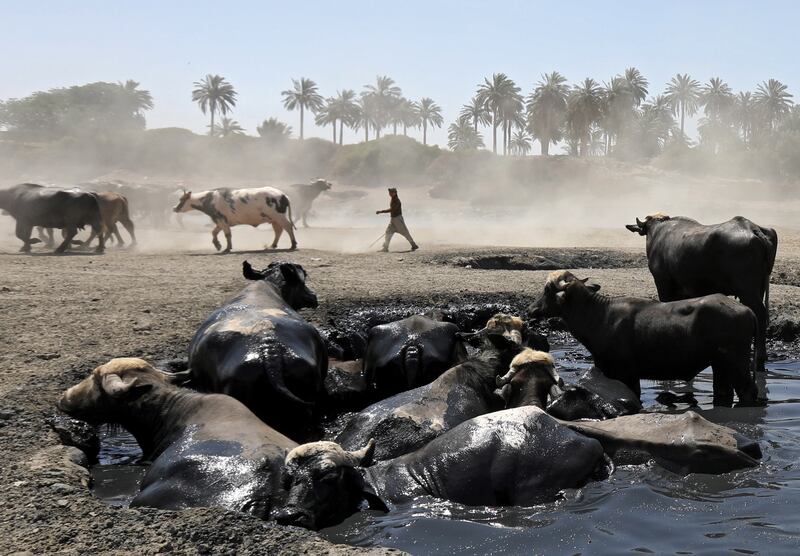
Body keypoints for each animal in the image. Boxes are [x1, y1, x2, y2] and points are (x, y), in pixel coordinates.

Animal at [528, 272, 760, 406]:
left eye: (547, 289)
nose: (531, 309)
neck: (599, 316)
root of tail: (748, 311)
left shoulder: (626, 373)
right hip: (720, 365)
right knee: (723, 392)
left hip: (736, 362)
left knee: (747, 391)